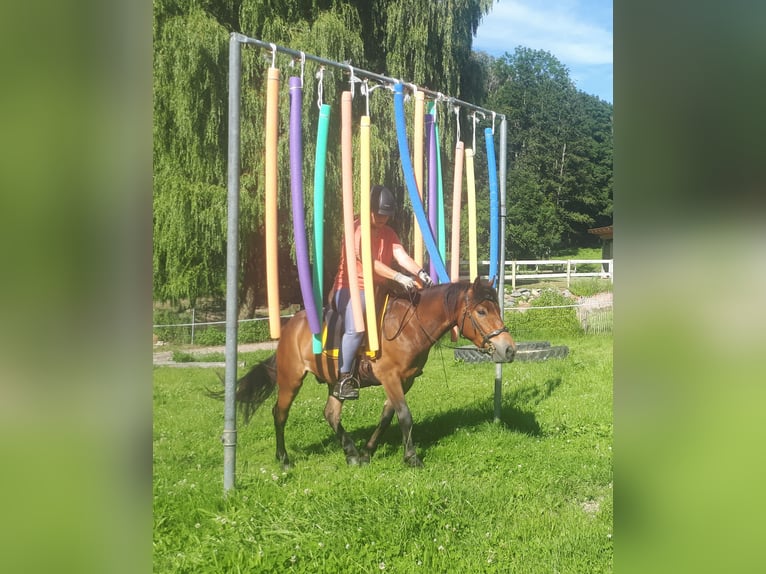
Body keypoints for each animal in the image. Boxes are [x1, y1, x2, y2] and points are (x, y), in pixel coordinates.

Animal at [230, 276, 516, 470]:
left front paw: (367, 452)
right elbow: (405, 416)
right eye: (481, 311)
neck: (409, 326)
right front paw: (412, 457)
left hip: (335, 383)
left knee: (331, 414)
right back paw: (285, 459)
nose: (509, 349)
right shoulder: (390, 377)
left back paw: (351, 453)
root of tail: (290, 326)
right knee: (279, 414)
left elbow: (387, 416)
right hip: (291, 379)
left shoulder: (405, 380)